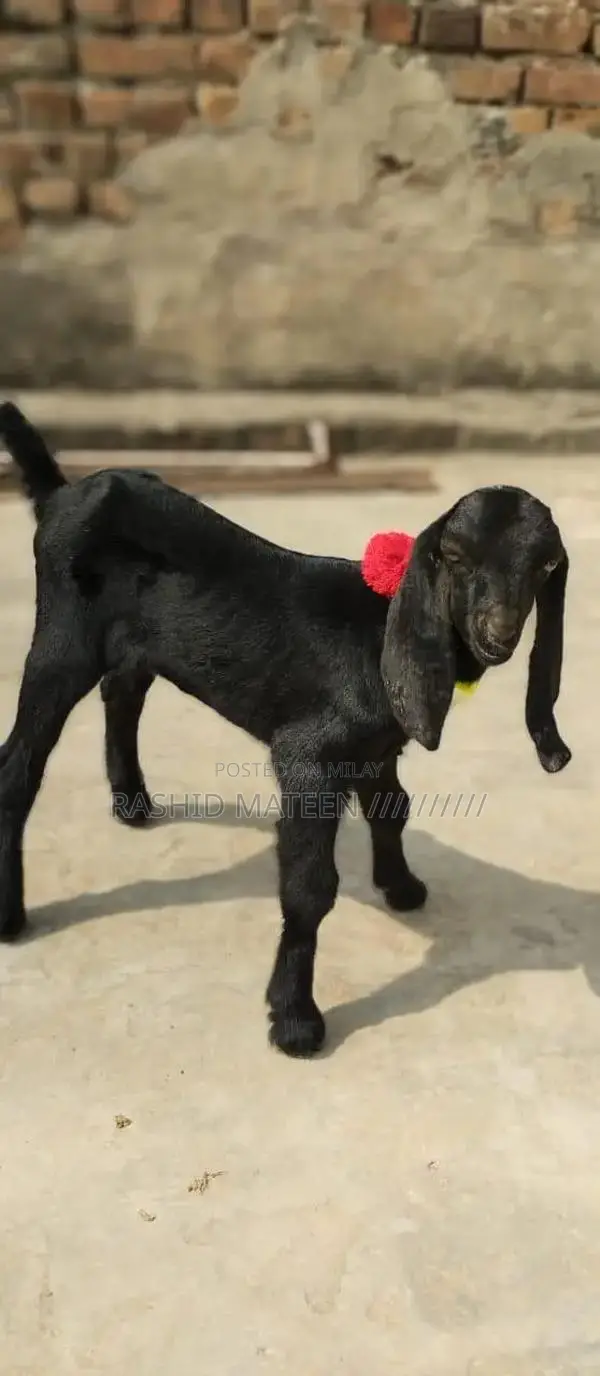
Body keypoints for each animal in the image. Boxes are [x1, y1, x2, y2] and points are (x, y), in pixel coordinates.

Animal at [0, 403, 571, 1057]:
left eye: (546, 564)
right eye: (454, 555)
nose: (497, 632)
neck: (380, 628)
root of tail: (63, 494)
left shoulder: (375, 750)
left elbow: (393, 809)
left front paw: (401, 887)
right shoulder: (309, 757)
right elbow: (310, 885)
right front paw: (295, 1019)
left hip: (135, 641)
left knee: (123, 691)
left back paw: (133, 803)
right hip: (63, 636)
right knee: (20, 763)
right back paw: (10, 915)